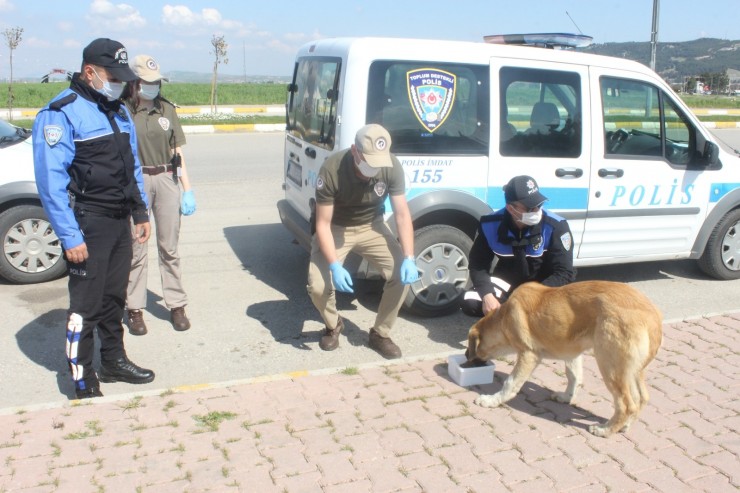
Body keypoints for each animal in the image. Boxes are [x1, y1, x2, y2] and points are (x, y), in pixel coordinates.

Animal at [466, 278, 660, 436]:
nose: (466, 356)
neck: (504, 317)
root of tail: (654, 317)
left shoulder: (529, 355)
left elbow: (510, 383)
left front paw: (492, 400)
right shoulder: (572, 351)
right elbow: (574, 377)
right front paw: (567, 397)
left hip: (610, 365)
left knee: (627, 405)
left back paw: (605, 430)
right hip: (631, 370)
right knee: (642, 397)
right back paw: (625, 425)